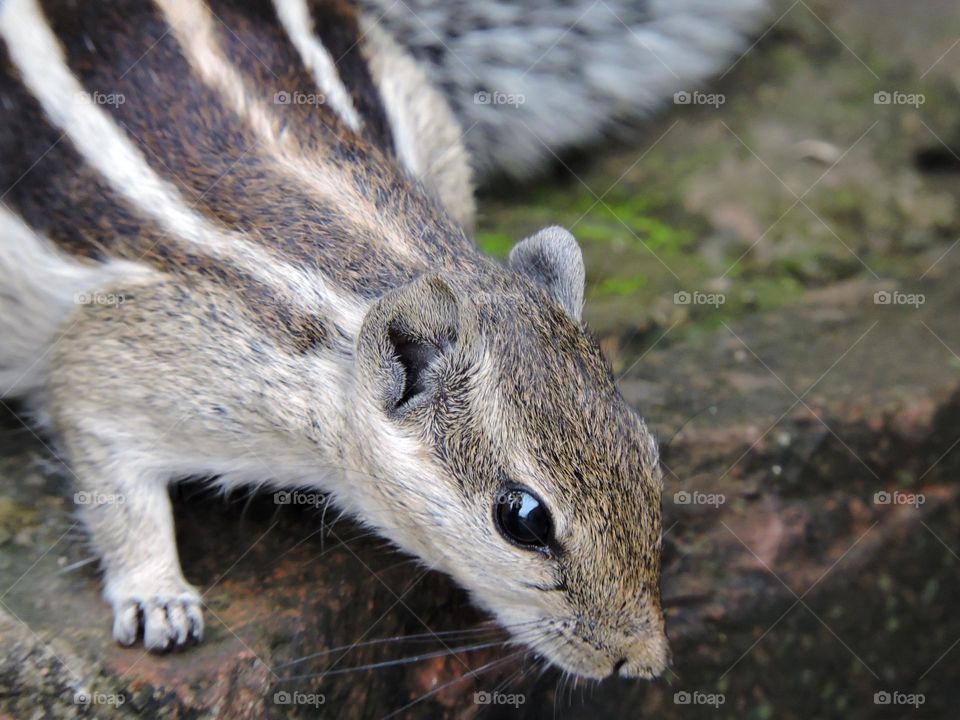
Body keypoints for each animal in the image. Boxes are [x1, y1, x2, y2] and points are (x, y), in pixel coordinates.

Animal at [0, 0, 764, 680]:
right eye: (523, 520)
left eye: (650, 455)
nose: (645, 661)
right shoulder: (137, 354)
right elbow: (103, 453)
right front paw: (157, 593)